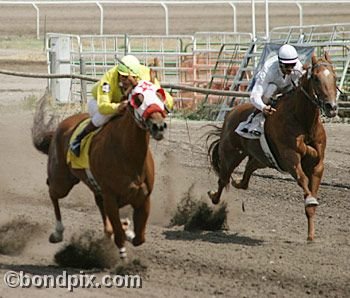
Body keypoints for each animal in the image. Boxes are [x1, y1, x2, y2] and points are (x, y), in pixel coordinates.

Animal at [32, 80, 168, 258]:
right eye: (138, 100)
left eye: (160, 95)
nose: (159, 126)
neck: (128, 154)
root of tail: (60, 127)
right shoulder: (110, 197)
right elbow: (119, 235)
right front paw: (122, 252)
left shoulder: (143, 198)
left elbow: (139, 238)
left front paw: (128, 231)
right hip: (62, 181)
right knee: (52, 192)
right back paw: (58, 232)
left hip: (94, 187)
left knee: (101, 209)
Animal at [206, 51, 338, 240]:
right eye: (316, 78)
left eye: (334, 76)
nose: (331, 107)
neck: (303, 121)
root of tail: (230, 114)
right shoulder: (290, 157)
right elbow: (302, 179)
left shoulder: (318, 165)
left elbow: (311, 196)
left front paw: (311, 236)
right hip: (230, 154)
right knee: (223, 179)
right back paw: (213, 196)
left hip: (263, 158)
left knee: (247, 172)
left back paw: (238, 182)